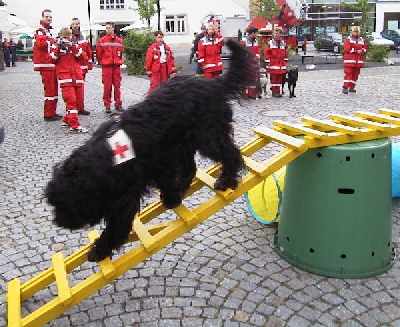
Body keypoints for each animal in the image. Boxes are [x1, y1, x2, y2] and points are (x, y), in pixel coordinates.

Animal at [44, 39, 256, 262]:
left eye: (68, 202)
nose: (59, 221)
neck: (107, 159)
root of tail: (214, 84)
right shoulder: (156, 166)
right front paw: (172, 197)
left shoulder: (130, 192)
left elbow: (117, 225)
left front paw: (100, 249)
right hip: (183, 143)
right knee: (191, 167)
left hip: (207, 136)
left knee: (230, 154)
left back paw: (227, 180)